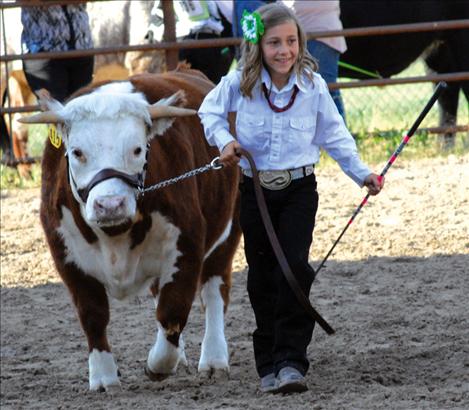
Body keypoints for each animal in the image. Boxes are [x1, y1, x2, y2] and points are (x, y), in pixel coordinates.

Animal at [20, 67, 239, 390]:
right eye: (77, 152)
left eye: (137, 149)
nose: (110, 205)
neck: (115, 236)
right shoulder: (66, 256)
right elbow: (93, 315)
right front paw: (103, 376)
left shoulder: (187, 245)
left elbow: (173, 310)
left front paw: (159, 364)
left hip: (229, 229)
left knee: (213, 291)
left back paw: (213, 359)